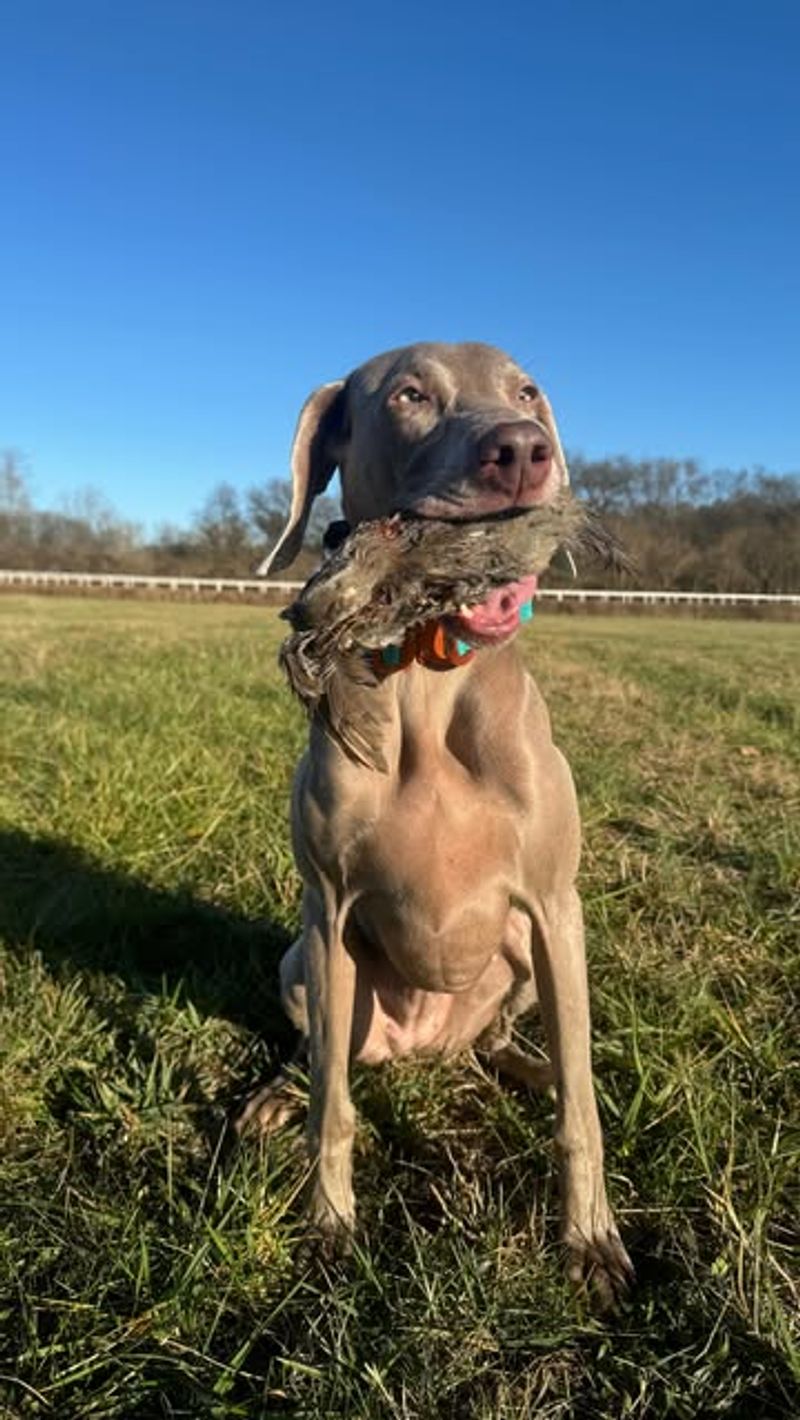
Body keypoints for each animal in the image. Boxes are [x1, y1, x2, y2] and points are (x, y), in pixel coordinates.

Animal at [241, 340, 636, 1300]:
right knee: (324, 1059)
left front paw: (590, 1239)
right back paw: (275, 1093)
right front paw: (330, 1224)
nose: (523, 450)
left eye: (527, 391)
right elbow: (335, 1108)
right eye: (411, 394)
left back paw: (530, 1065)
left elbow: (582, 1111)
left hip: (527, 956)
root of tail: (428, 1051)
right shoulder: (328, 906)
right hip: (304, 962)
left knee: (518, 1044)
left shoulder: (556, 906)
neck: (427, 678)